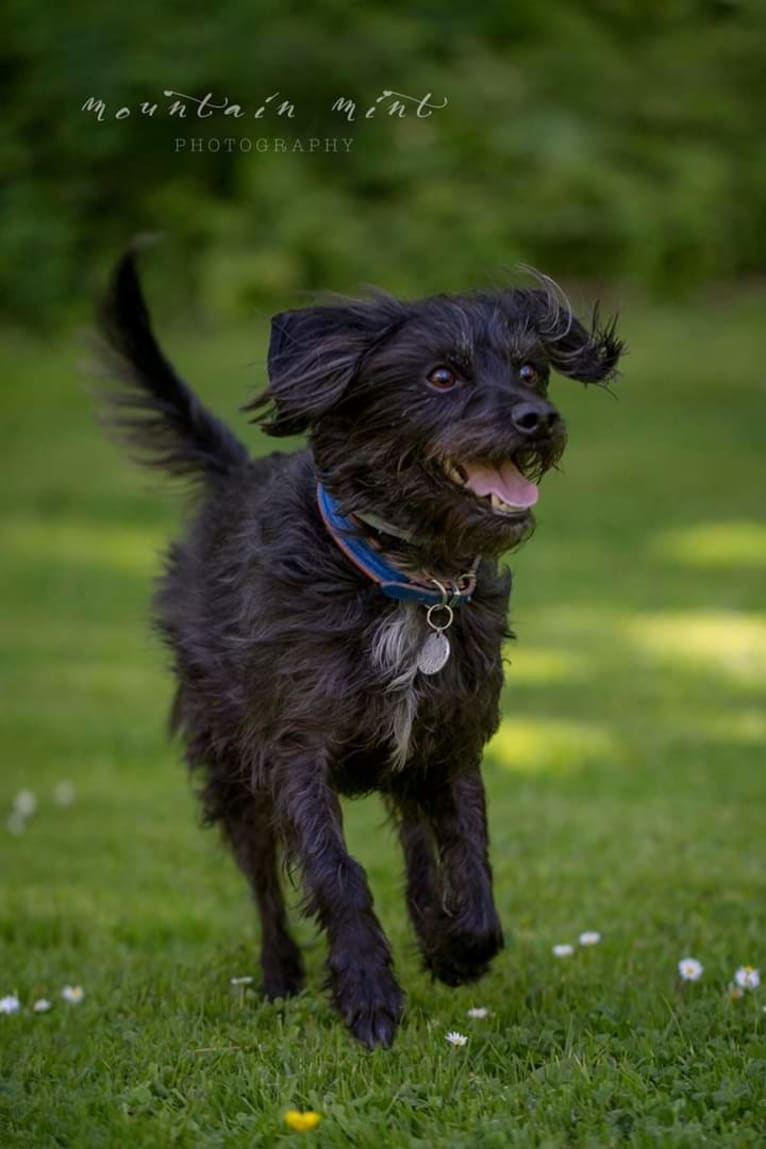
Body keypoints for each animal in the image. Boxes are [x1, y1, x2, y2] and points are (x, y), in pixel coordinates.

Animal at [95, 251, 624, 1052]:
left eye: (531, 371)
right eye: (441, 376)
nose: (539, 419)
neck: (405, 580)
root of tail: (235, 475)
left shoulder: (449, 745)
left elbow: (471, 868)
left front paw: (453, 946)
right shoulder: (295, 752)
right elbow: (337, 873)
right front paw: (369, 993)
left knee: (413, 844)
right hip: (230, 765)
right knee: (263, 880)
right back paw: (280, 974)